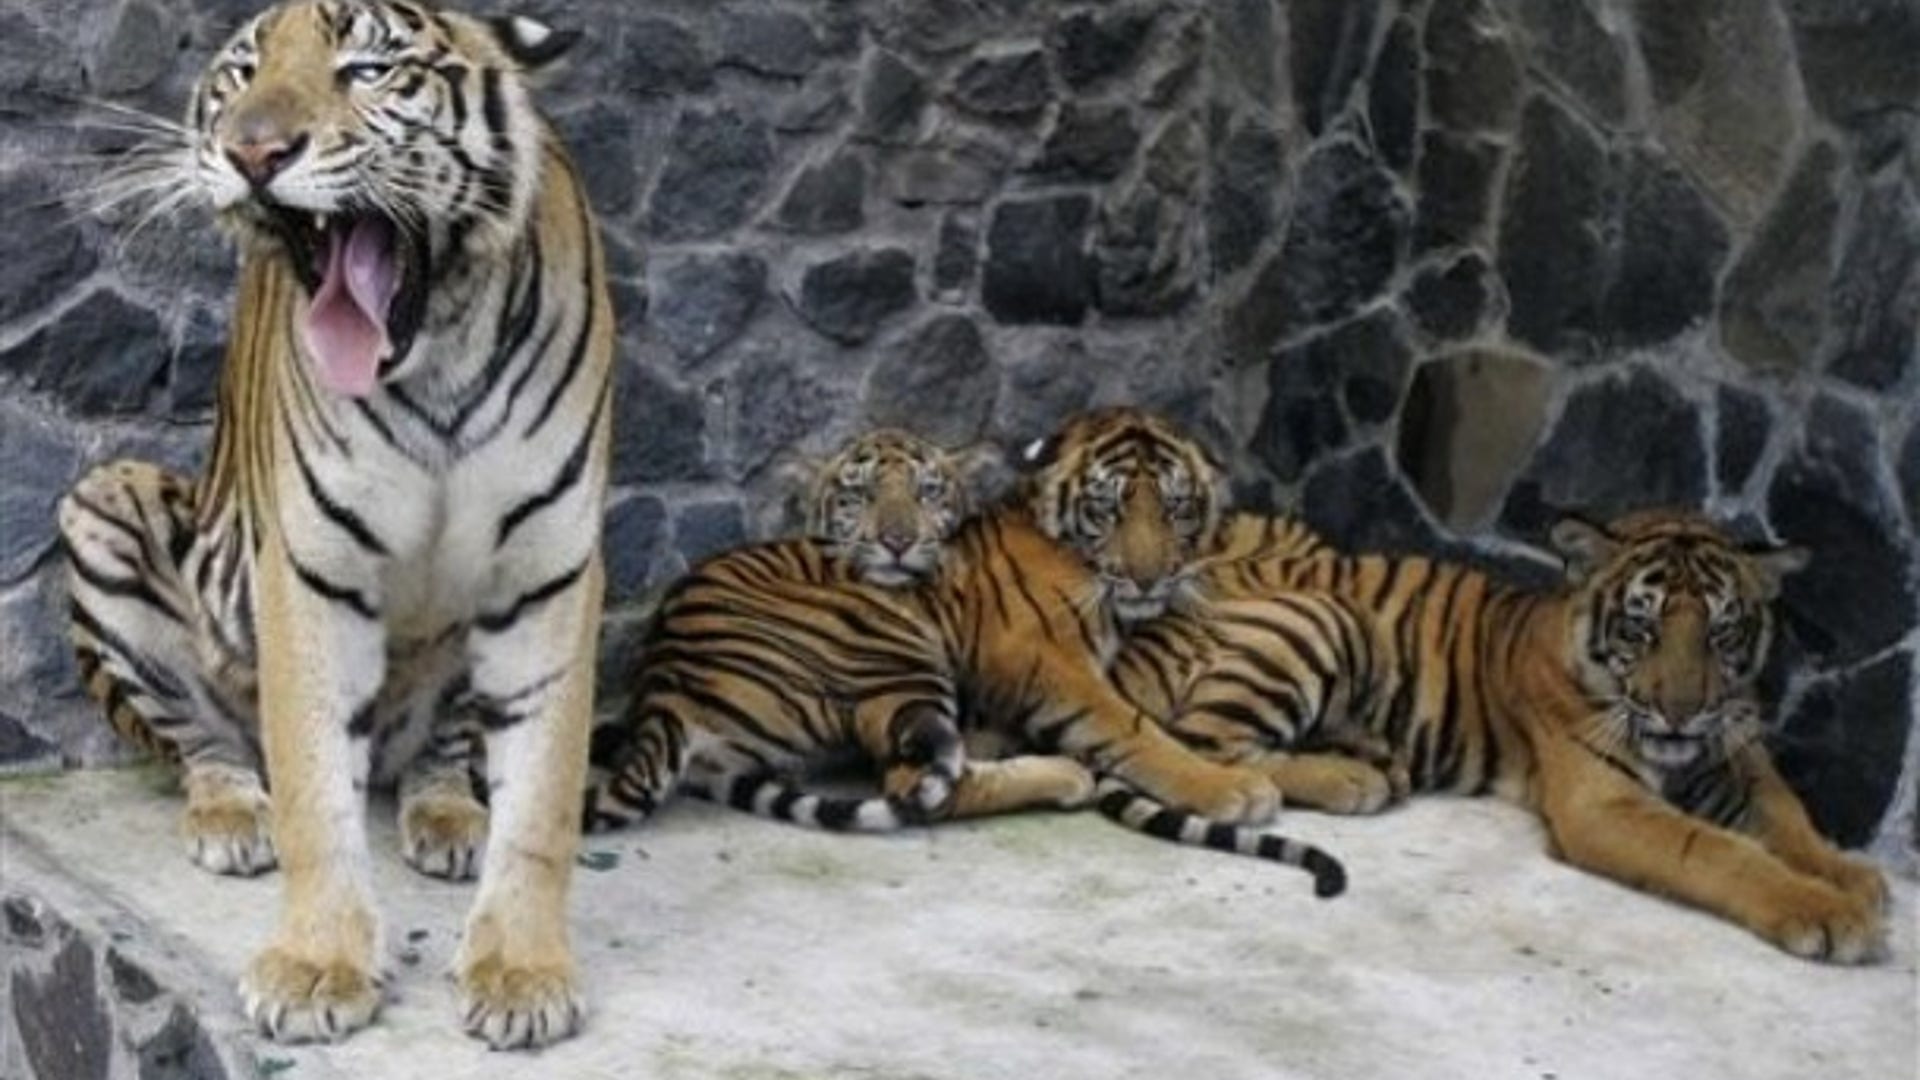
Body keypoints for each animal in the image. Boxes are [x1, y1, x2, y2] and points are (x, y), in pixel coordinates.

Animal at [57, 1, 612, 1048]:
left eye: (367, 71)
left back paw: (450, 817)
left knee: (443, 755)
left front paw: (521, 976)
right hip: (103, 504)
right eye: (242, 76)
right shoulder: (311, 569)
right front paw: (318, 969)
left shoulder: (547, 570)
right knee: (202, 743)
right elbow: (316, 791)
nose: (253, 152)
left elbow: (543, 802)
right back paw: (233, 818)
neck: (435, 358)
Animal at [1130, 508, 1891, 961]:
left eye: (1721, 632)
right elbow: (1719, 850)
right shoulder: (1603, 804)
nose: (1679, 712)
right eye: (1641, 627)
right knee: (1208, 746)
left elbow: (1790, 818)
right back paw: (1351, 780)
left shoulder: (1735, 761)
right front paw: (1829, 913)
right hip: (1316, 617)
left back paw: (1373, 759)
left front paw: (1854, 877)